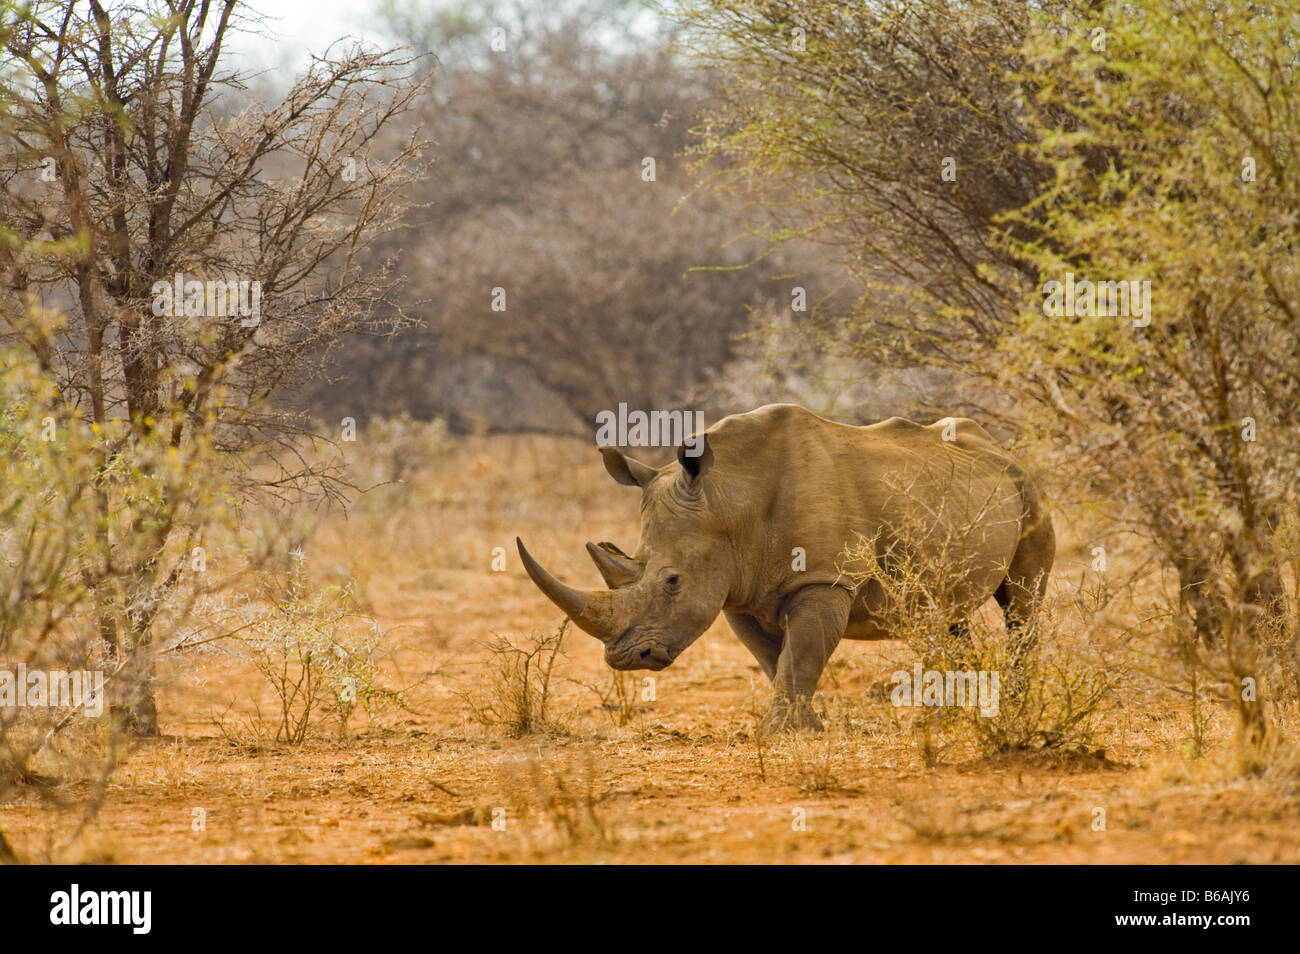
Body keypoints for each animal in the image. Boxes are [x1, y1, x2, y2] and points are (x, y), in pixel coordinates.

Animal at [512, 402, 1050, 733]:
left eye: (672, 582)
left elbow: (802, 653)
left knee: (1021, 604)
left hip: (1027, 488)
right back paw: (956, 716)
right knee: (947, 615)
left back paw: (1014, 706)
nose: (628, 659)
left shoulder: (823, 580)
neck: (728, 498)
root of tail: (1002, 449)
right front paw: (803, 728)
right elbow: (777, 660)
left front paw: (778, 733)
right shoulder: (737, 590)